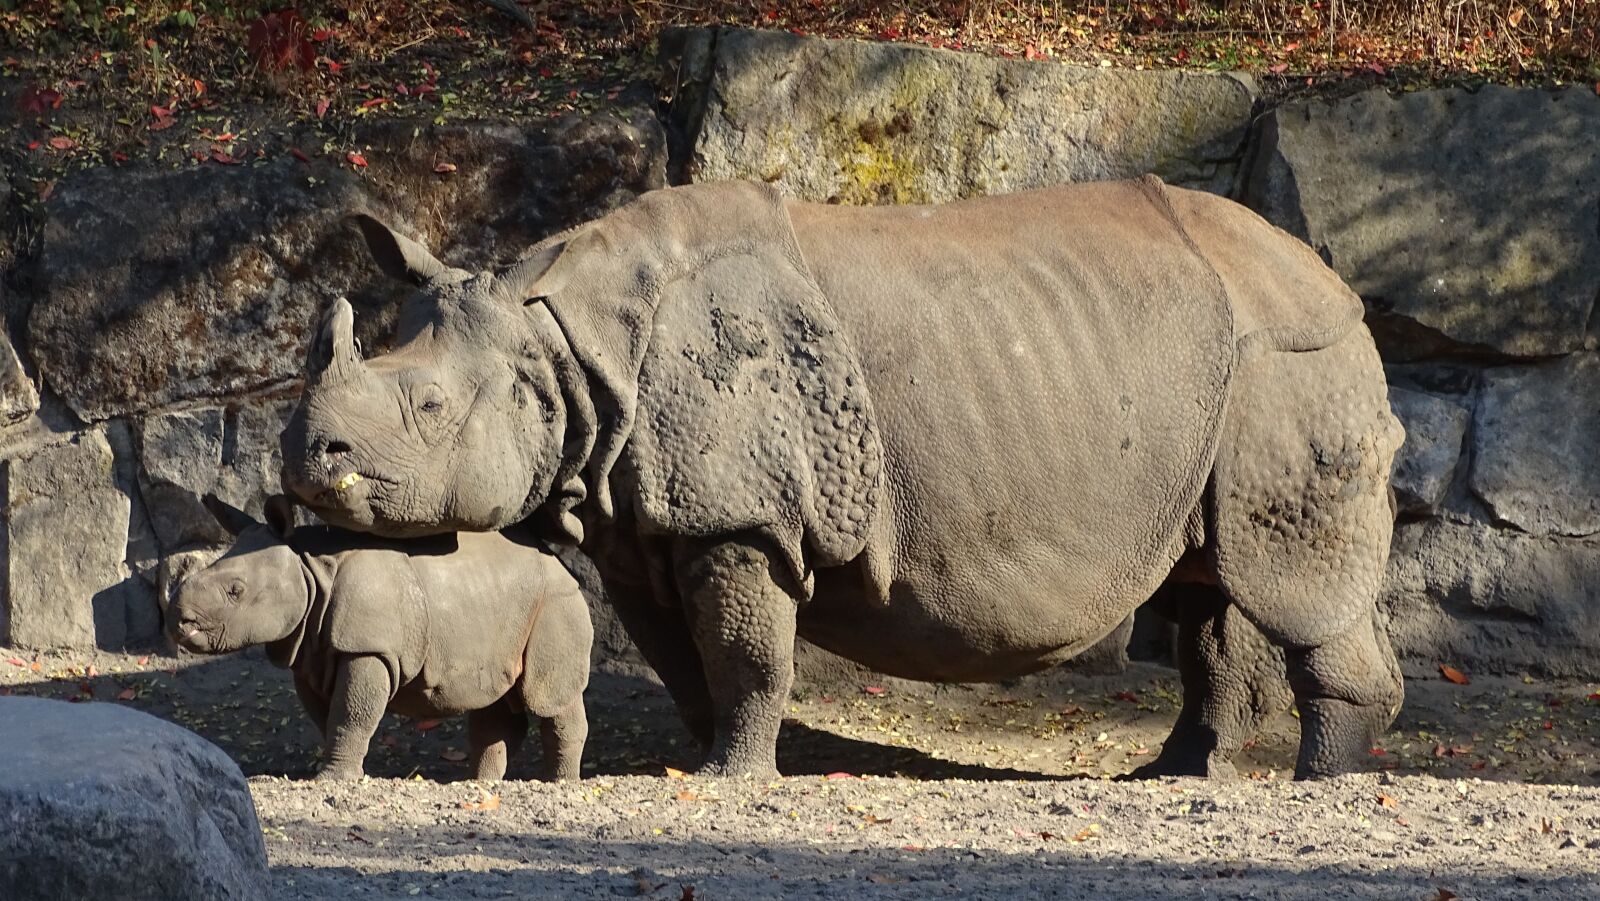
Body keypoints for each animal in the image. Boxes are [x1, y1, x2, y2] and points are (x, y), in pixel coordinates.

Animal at [168, 495, 592, 781]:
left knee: (547, 697)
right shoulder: (310, 652)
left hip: (556, 603)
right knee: (495, 702)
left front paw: (333, 778)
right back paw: (479, 785)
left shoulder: (368, 649)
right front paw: (338, 769)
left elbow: (351, 713)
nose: (179, 622)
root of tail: (561, 564)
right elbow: (327, 716)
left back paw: (559, 785)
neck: (308, 567)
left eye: (235, 591)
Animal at [281, 176, 1405, 779]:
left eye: (429, 409)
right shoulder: (640, 522)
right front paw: (706, 760)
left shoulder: (733, 516)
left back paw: (1314, 782)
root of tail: (1332, 279)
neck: (564, 344)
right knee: (1209, 580)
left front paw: (733, 777)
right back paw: (1177, 773)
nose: (306, 457)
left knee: (1291, 581)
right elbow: (686, 658)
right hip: (1219, 379)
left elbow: (744, 649)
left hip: (1290, 359)